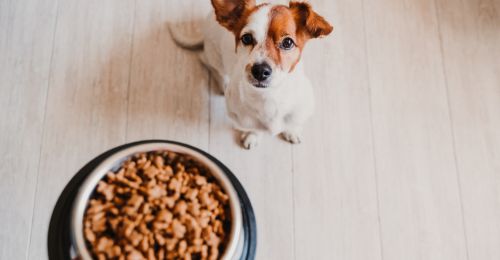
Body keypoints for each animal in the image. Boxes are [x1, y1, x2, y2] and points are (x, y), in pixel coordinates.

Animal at [170, 0, 334, 149]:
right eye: (247, 38)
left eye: (288, 42)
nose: (260, 70)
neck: (269, 97)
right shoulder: (242, 119)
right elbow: (253, 129)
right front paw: (252, 136)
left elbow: (292, 124)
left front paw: (291, 131)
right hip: (214, 56)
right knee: (207, 62)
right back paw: (222, 83)